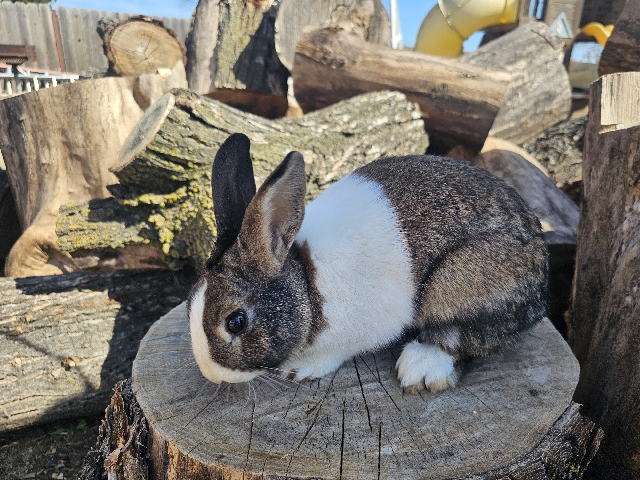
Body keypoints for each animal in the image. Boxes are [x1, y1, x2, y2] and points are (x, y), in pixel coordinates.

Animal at [188, 133, 548, 393]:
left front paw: (299, 371)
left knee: (461, 336)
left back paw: (419, 369)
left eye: (236, 322)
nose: (213, 375)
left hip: (458, 285)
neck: (307, 284)